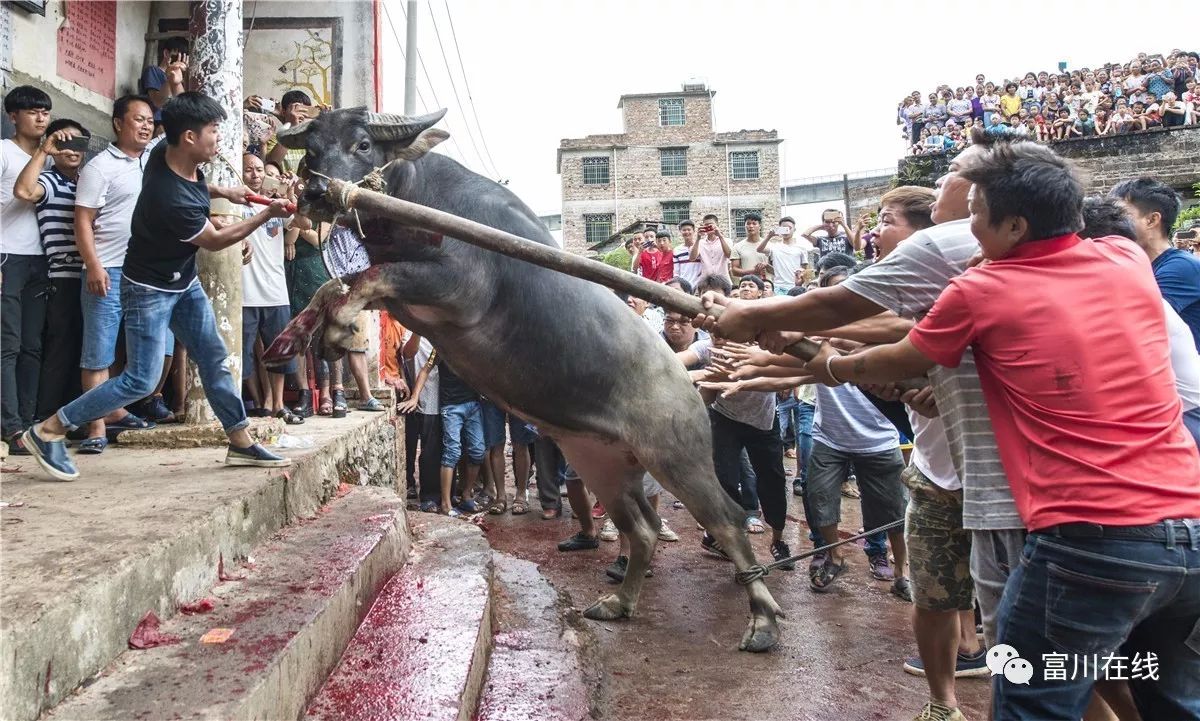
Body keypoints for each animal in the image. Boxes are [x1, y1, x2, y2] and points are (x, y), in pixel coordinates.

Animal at [266, 107, 782, 652]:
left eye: (363, 144)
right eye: (313, 149)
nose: (316, 191)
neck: (418, 200)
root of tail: (687, 385)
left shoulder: (454, 287)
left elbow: (366, 279)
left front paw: (339, 329)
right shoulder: (407, 301)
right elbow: (335, 284)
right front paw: (294, 338)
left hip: (678, 456)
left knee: (727, 521)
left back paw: (762, 621)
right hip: (601, 462)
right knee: (641, 527)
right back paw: (619, 603)